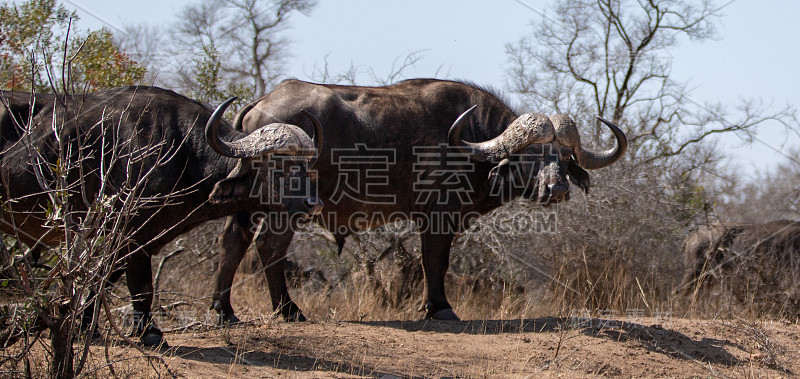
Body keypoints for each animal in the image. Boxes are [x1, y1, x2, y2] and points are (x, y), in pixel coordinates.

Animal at [3, 87, 324, 348]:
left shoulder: (130, 239)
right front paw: (150, 333)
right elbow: (141, 284)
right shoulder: (131, 230)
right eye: (279, 165)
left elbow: (104, 278)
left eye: (305, 164)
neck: (179, 150)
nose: (314, 204)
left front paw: (86, 329)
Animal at [206, 78, 624, 322]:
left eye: (564, 157)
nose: (558, 190)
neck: (472, 142)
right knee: (269, 245)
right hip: (289, 205)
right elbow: (435, 260)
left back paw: (223, 310)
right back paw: (288, 311)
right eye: (532, 155)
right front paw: (439, 308)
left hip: (247, 204)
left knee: (233, 241)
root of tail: (257, 108)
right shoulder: (438, 215)